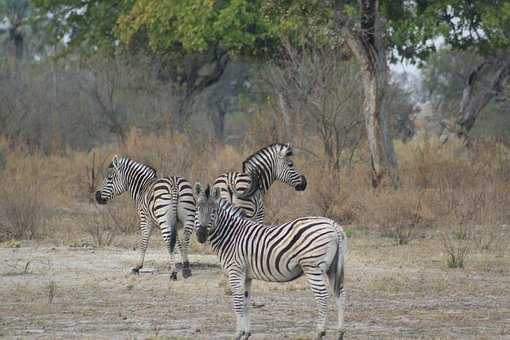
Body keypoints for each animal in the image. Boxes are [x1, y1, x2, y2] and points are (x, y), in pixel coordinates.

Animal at [194, 183, 346, 340]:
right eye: (197, 208)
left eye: (213, 211)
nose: (201, 236)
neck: (231, 236)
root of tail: (333, 225)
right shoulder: (246, 275)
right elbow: (246, 301)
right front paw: (246, 333)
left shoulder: (235, 271)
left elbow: (237, 302)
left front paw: (238, 334)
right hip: (332, 268)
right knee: (340, 293)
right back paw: (340, 332)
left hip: (313, 267)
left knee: (322, 296)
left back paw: (319, 332)